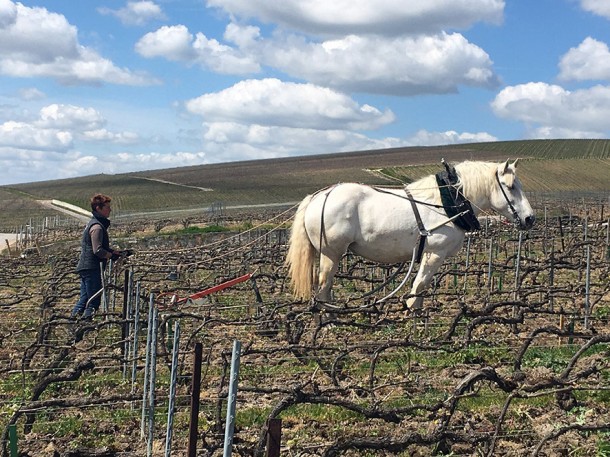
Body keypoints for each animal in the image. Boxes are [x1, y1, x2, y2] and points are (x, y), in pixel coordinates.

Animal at [284, 159, 532, 308]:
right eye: (510, 186)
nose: (530, 218)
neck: (446, 204)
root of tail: (319, 196)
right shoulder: (435, 252)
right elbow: (420, 284)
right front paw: (414, 317)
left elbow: (421, 287)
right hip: (331, 253)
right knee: (323, 288)